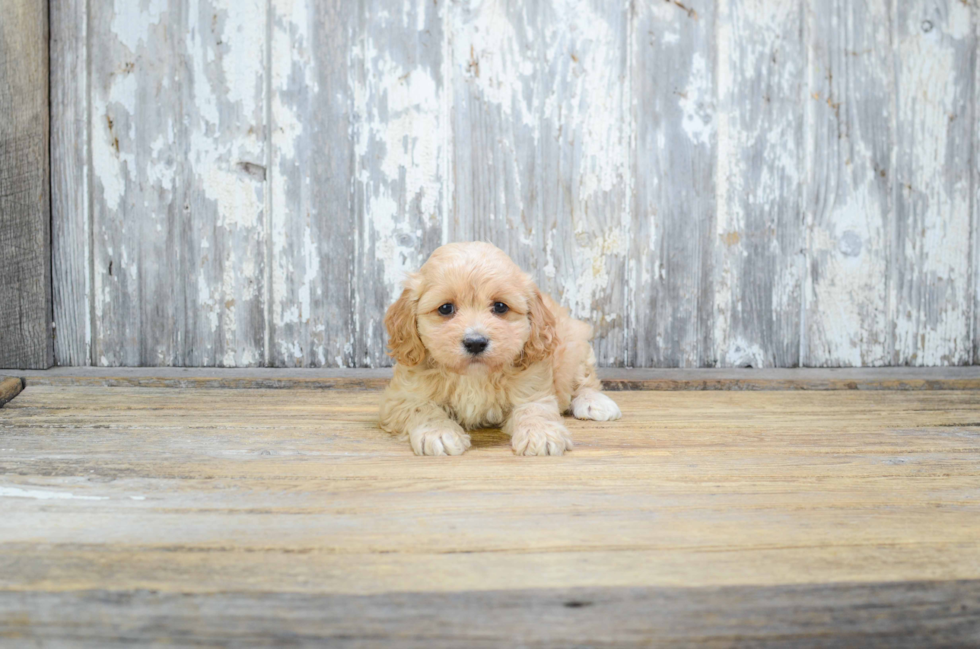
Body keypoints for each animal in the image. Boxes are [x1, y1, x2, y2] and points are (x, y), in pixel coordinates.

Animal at [378, 240, 620, 458]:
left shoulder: (532, 388)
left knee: (585, 379)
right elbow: (423, 409)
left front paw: (541, 434)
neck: (474, 377)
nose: (475, 342)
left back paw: (595, 402)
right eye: (445, 308)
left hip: (574, 343)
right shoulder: (403, 397)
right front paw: (438, 432)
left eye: (500, 307)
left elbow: (534, 410)